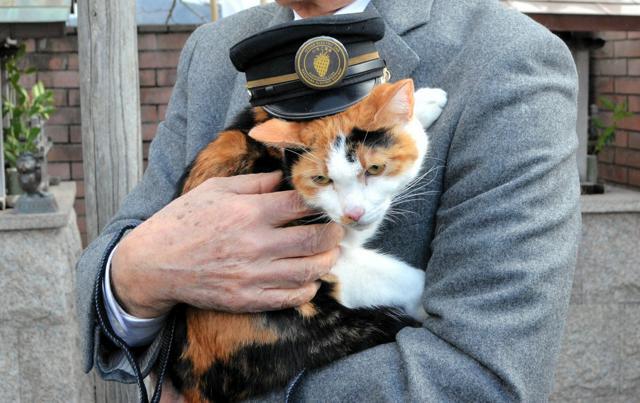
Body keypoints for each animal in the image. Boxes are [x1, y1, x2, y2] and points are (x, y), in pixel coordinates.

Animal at [166, 80, 444, 402]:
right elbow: (396, 277)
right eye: (321, 179)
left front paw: (424, 102)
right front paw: (423, 300)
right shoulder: (312, 255)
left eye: (374, 169)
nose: (353, 213)